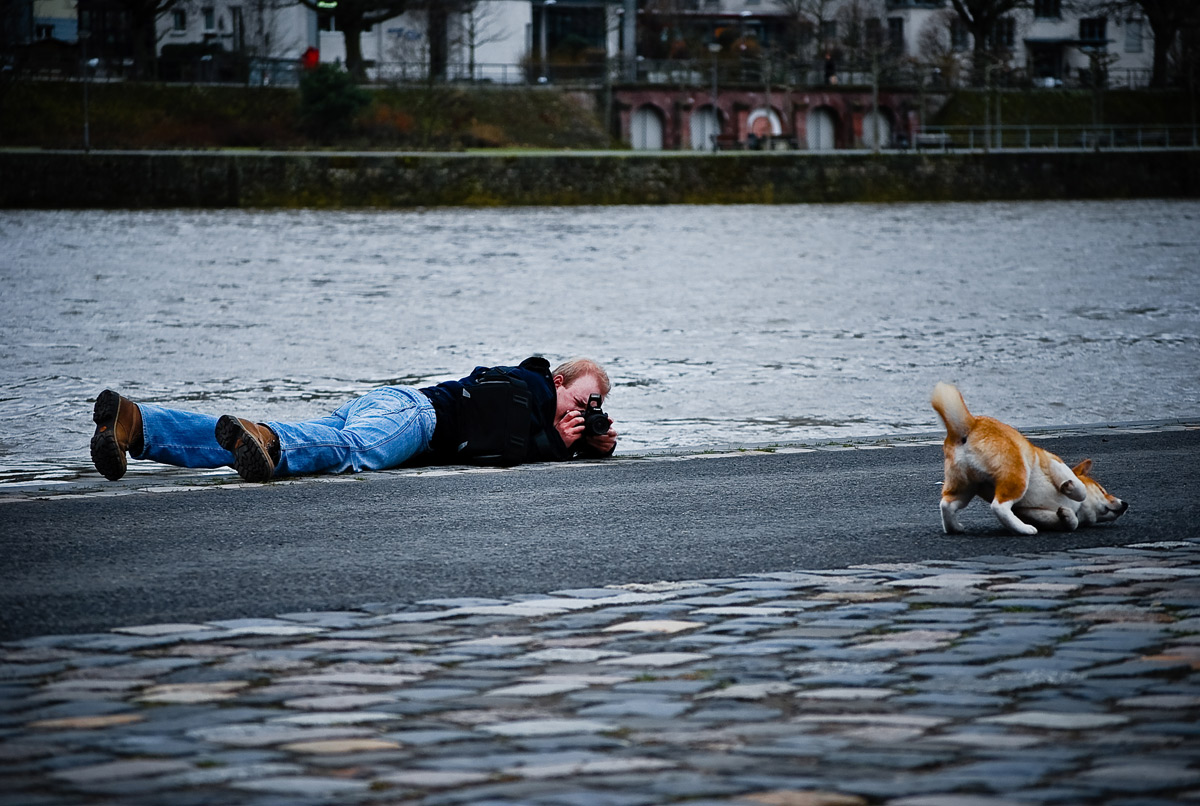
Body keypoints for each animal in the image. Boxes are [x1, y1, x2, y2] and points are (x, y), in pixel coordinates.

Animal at [926, 381, 1123, 534]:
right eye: (1102, 490)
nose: (1125, 504)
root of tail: (972, 424)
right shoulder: (1053, 461)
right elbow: (1080, 489)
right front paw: (1069, 486)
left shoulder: (1031, 512)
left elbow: (1068, 521)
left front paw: (1067, 517)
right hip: (1018, 475)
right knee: (999, 506)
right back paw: (1025, 530)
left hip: (965, 487)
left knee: (947, 505)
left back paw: (955, 528)